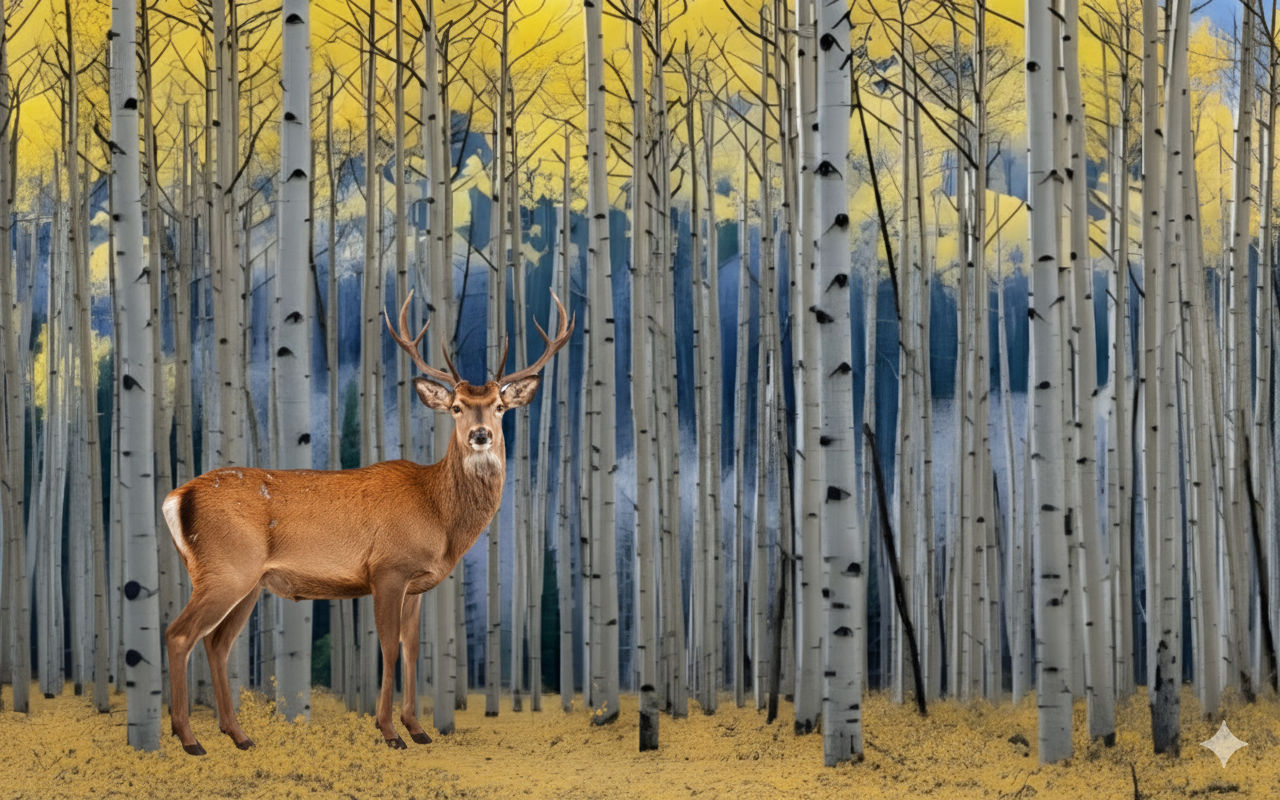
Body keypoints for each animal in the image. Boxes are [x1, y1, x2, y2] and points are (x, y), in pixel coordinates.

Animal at [162, 290, 572, 756]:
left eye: (500, 407)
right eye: (456, 407)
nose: (480, 434)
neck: (439, 515)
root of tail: (176, 498)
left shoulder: (416, 584)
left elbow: (412, 649)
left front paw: (418, 728)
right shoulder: (387, 569)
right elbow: (389, 649)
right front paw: (390, 731)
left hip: (247, 583)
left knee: (217, 643)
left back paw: (239, 735)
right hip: (225, 569)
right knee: (179, 634)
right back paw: (190, 738)